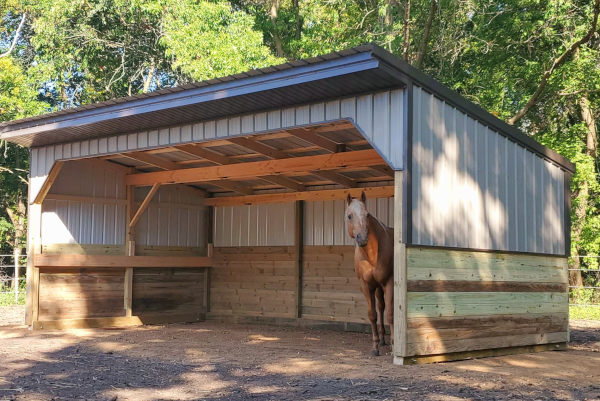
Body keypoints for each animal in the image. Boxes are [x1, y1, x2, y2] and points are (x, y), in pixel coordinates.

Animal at [344, 191, 396, 356]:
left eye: (367, 215)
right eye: (349, 216)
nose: (362, 239)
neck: (372, 254)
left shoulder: (389, 282)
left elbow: (391, 314)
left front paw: (394, 346)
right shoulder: (366, 285)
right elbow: (372, 314)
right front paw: (375, 346)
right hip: (377, 287)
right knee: (380, 307)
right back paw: (382, 339)